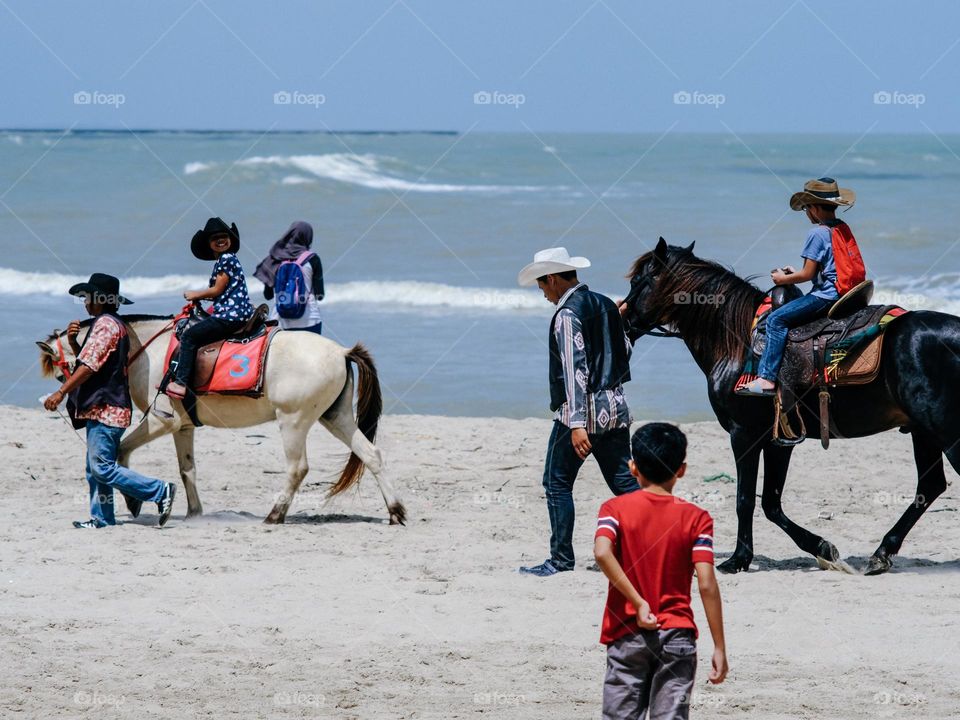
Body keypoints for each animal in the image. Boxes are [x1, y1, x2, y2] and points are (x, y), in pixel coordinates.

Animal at [36, 314, 404, 524]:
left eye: (62, 373)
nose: (71, 411)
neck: (148, 350)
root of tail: (341, 352)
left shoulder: (162, 421)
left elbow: (123, 450)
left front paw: (134, 500)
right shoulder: (183, 427)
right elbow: (187, 470)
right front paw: (193, 512)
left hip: (293, 421)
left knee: (298, 468)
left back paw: (275, 514)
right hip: (335, 417)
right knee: (371, 455)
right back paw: (395, 511)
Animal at [624, 239, 960, 576]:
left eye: (638, 280)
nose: (623, 321)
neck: (736, 342)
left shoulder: (744, 434)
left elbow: (746, 499)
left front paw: (738, 559)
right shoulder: (778, 439)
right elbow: (771, 504)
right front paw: (822, 548)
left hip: (944, 431)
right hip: (923, 431)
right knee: (930, 485)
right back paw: (881, 553)